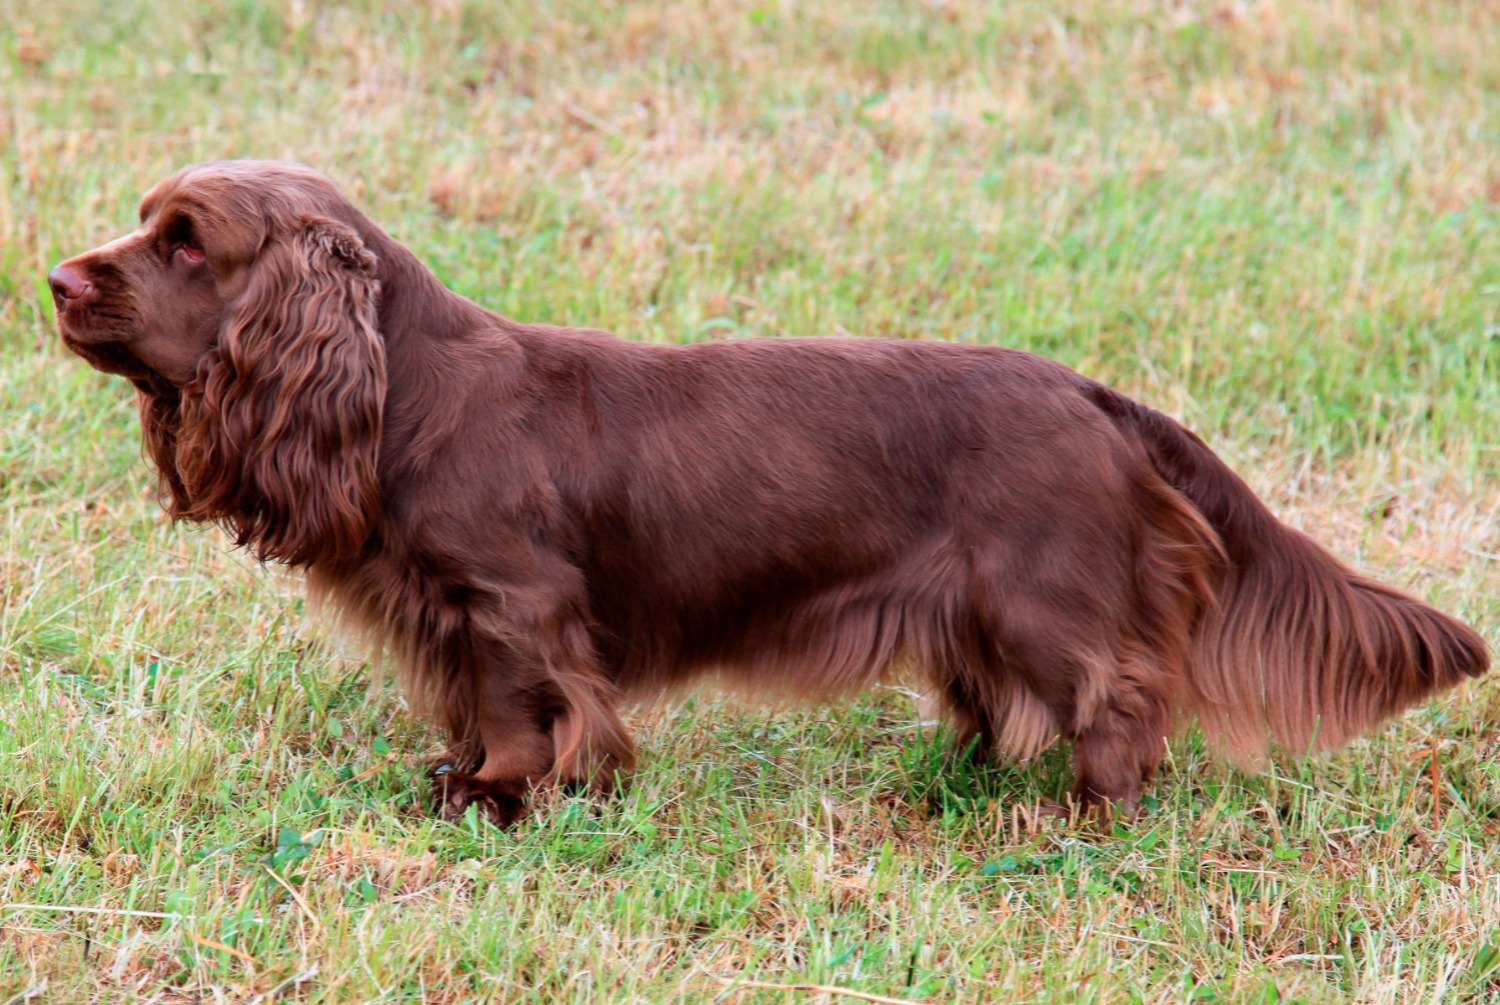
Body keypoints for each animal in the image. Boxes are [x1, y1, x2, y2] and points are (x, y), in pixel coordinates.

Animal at [49, 163, 1488, 828]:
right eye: (145, 223)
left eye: (186, 242)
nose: (58, 277)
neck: (405, 391)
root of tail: (1094, 394)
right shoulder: (446, 612)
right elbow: (467, 703)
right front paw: (466, 778)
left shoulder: (513, 602)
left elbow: (522, 706)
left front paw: (504, 797)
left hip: (1041, 595)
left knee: (1120, 695)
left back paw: (1089, 814)